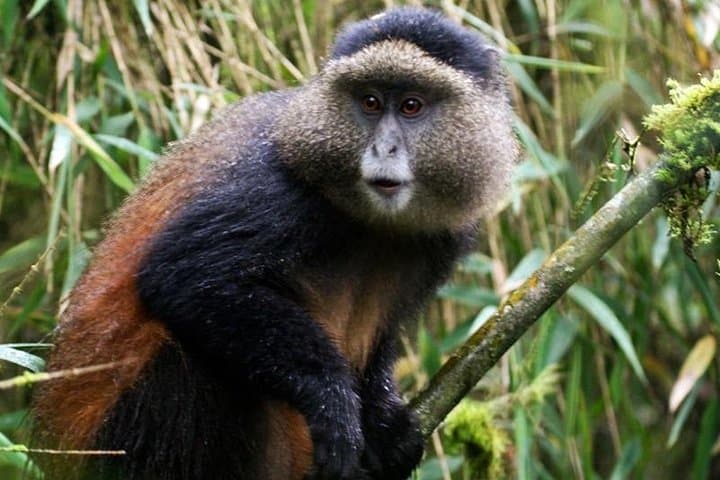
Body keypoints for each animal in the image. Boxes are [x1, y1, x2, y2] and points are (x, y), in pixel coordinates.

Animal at [31, 7, 517, 480]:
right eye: (371, 102)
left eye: (412, 105)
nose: (385, 149)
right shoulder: (278, 190)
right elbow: (184, 275)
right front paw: (332, 399)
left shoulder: (449, 233)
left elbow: (386, 332)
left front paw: (385, 423)